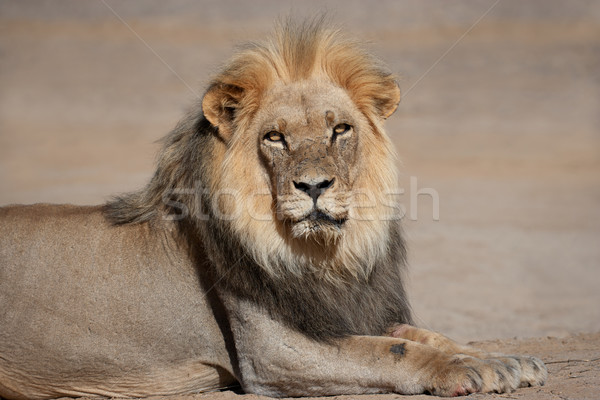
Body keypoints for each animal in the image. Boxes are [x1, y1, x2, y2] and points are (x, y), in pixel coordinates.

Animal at [0, 19, 544, 400]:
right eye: (275, 138)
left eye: (339, 130)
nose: (314, 186)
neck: (325, 257)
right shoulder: (274, 354)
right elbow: (389, 350)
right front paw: (464, 369)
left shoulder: (348, 310)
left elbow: (423, 334)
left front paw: (504, 359)